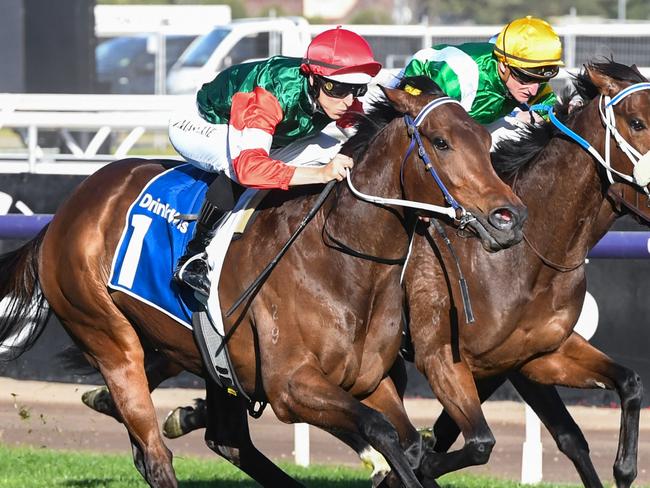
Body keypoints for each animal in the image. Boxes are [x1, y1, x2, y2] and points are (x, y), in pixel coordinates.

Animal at [0, 86, 520, 486]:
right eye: (441, 142)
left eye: (485, 138)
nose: (509, 218)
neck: (342, 263)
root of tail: (65, 213)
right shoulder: (291, 385)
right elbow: (383, 433)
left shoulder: (369, 380)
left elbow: (410, 445)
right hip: (108, 338)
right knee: (155, 455)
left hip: (210, 360)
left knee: (226, 442)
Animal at [400, 62, 644, 488]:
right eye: (638, 122)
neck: (523, 259)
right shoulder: (449, 357)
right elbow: (460, 442)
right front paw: (417, 460)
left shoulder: (532, 356)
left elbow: (614, 396)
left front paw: (624, 467)